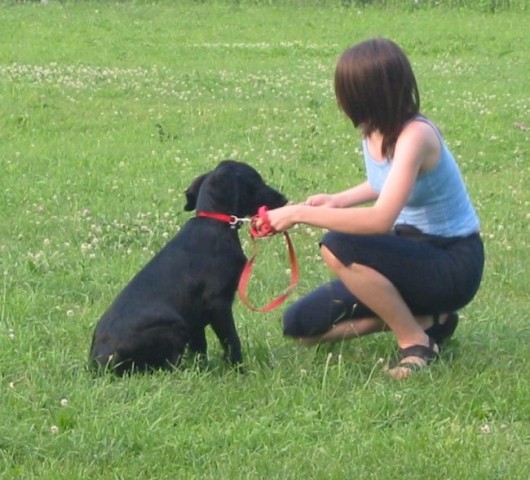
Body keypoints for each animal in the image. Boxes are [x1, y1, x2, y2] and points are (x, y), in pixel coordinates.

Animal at [87, 161, 284, 376]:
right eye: (257, 180)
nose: (284, 198)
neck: (214, 223)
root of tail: (99, 363)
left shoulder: (196, 317)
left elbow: (199, 348)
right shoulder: (218, 303)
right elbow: (232, 341)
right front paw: (240, 371)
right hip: (174, 327)